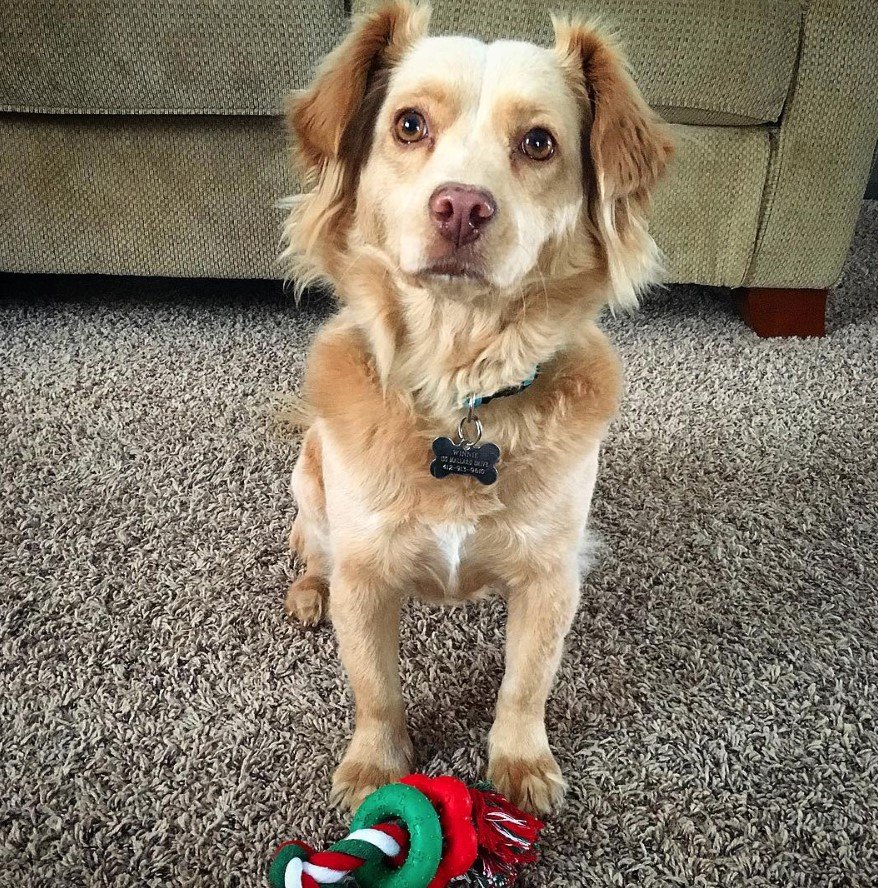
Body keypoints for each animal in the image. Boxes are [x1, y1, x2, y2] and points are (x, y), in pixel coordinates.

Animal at [282, 0, 672, 816]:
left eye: (538, 142)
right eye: (409, 125)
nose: (461, 206)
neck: (458, 392)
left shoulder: (549, 579)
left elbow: (526, 683)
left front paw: (520, 762)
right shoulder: (366, 576)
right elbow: (375, 687)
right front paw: (375, 767)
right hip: (308, 484)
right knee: (309, 545)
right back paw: (307, 590)